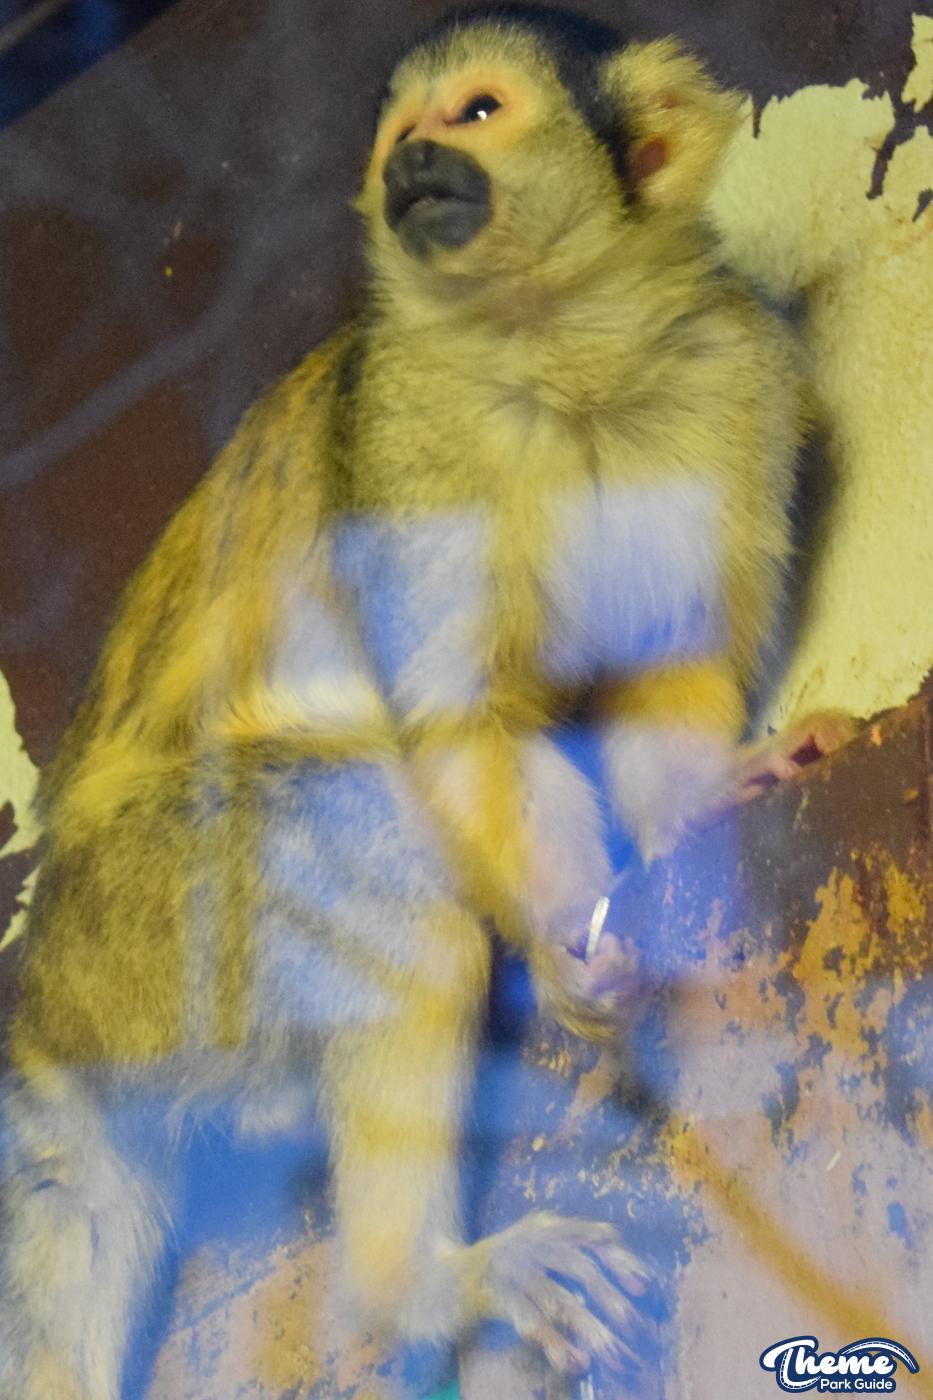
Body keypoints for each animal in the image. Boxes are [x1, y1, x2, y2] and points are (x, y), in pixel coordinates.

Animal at [0, 5, 848, 1395]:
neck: (554, 339)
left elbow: (665, 655)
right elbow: (460, 724)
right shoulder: (406, 428)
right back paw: (421, 1285)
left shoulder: (729, 367)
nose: (409, 168)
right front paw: (562, 939)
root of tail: (36, 1018)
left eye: (478, 113)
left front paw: (705, 792)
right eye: (401, 132)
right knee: (372, 833)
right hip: (139, 943)